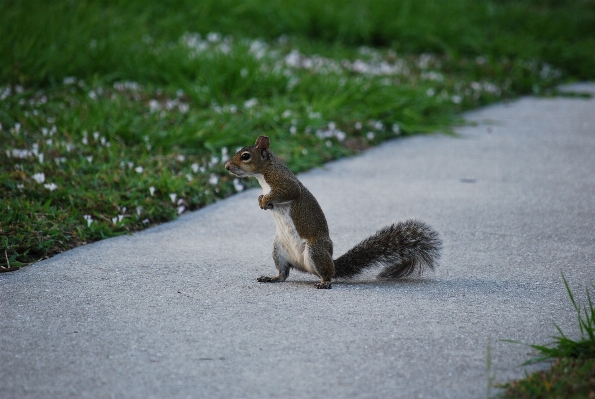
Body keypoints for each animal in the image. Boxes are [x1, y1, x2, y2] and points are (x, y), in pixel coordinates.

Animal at [225, 136, 442, 290]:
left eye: (245, 156)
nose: (226, 166)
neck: (263, 175)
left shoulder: (284, 182)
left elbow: (290, 192)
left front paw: (265, 200)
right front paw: (261, 201)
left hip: (316, 250)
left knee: (326, 273)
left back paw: (325, 282)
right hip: (279, 249)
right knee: (284, 274)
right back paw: (272, 277)